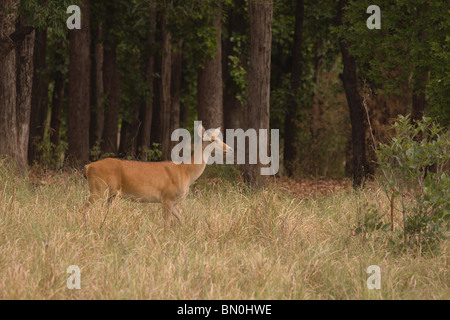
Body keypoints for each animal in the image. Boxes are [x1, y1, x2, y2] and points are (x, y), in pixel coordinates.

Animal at [82, 124, 234, 224]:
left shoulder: (174, 202)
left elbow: (182, 219)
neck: (186, 172)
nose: (230, 149)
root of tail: (88, 167)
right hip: (99, 188)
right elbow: (166, 223)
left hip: (110, 194)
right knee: (85, 208)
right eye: (213, 140)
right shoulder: (167, 196)